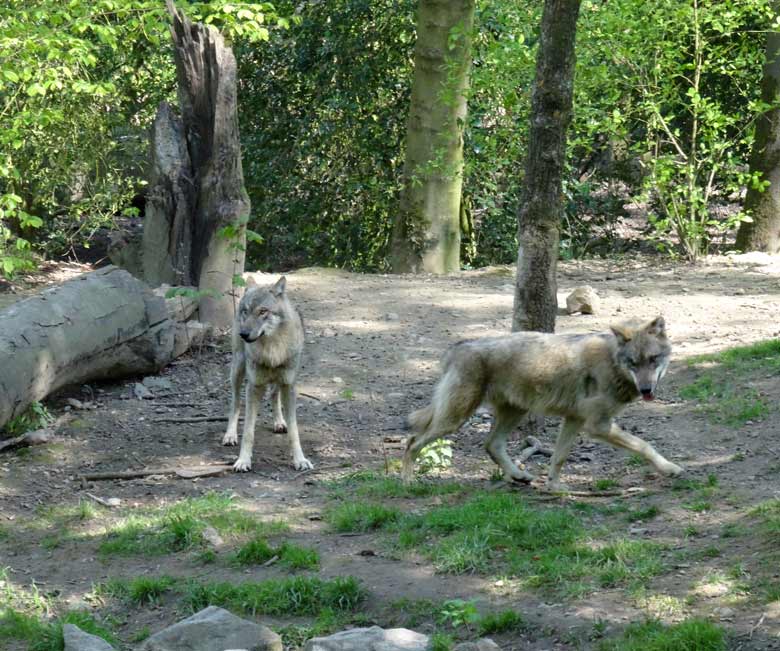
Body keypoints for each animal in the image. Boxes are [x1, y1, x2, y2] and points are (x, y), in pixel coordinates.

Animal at [221, 276, 312, 474]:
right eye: (246, 311)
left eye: (263, 311)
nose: (244, 334)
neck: (272, 350)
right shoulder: (253, 387)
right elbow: (248, 431)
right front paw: (243, 461)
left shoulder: (289, 386)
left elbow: (294, 431)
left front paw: (300, 460)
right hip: (237, 371)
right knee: (235, 403)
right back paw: (230, 435)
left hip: (279, 380)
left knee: (273, 395)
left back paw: (279, 422)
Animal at [406, 316, 680, 488]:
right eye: (633, 363)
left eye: (653, 359)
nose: (646, 389)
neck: (612, 363)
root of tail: (456, 347)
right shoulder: (597, 426)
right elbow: (644, 446)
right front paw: (670, 468)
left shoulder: (574, 420)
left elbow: (558, 457)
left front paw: (555, 486)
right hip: (455, 419)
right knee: (412, 442)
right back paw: (406, 482)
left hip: (514, 412)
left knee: (491, 445)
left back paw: (518, 476)